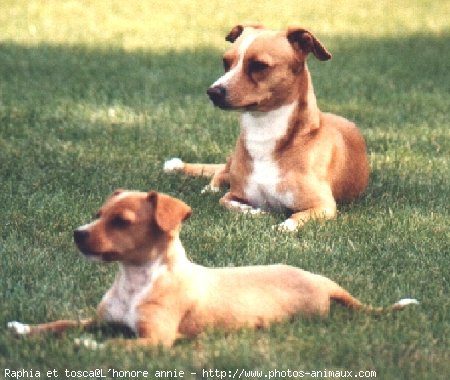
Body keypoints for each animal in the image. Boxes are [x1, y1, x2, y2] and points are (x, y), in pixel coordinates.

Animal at [8, 190, 418, 348]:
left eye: (121, 222)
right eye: (98, 215)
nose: (77, 234)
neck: (137, 281)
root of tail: (323, 282)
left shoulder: (156, 340)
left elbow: (115, 345)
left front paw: (87, 346)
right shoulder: (100, 319)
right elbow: (62, 323)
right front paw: (23, 328)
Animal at [164, 26, 370, 232]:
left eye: (259, 65)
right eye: (225, 62)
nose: (212, 92)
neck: (264, 133)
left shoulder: (324, 206)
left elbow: (294, 218)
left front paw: (281, 227)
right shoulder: (232, 195)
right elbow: (228, 202)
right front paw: (257, 212)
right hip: (230, 164)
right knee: (219, 173)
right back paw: (209, 188)